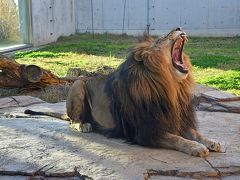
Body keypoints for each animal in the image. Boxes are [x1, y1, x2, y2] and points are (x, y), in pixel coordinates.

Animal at [24, 27, 221, 157]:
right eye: (162, 38)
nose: (179, 28)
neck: (171, 86)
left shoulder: (177, 119)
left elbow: (195, 133)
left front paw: (211, 141)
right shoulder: (146, 132)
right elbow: (177, 139)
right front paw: (196, 148)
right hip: (78, 84)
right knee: (72, 121)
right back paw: (84, 125)